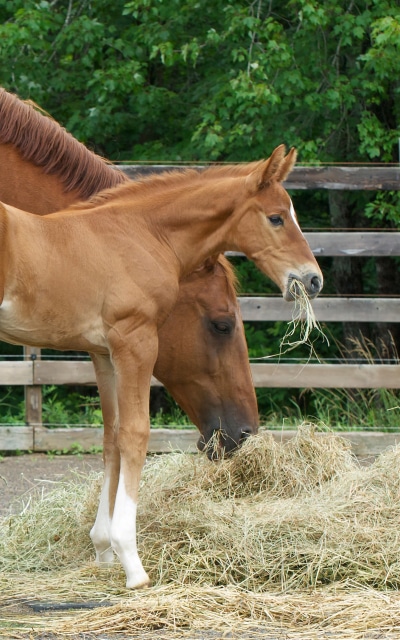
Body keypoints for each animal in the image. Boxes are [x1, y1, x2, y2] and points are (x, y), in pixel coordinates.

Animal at [0, 145, 323, 587]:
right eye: (276, 217)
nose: (313, 280)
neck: (139, 234)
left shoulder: (104, 352)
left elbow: (112, 436)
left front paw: (103, 547)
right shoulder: (134, 340)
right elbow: (136, 435)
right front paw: (131, 560)